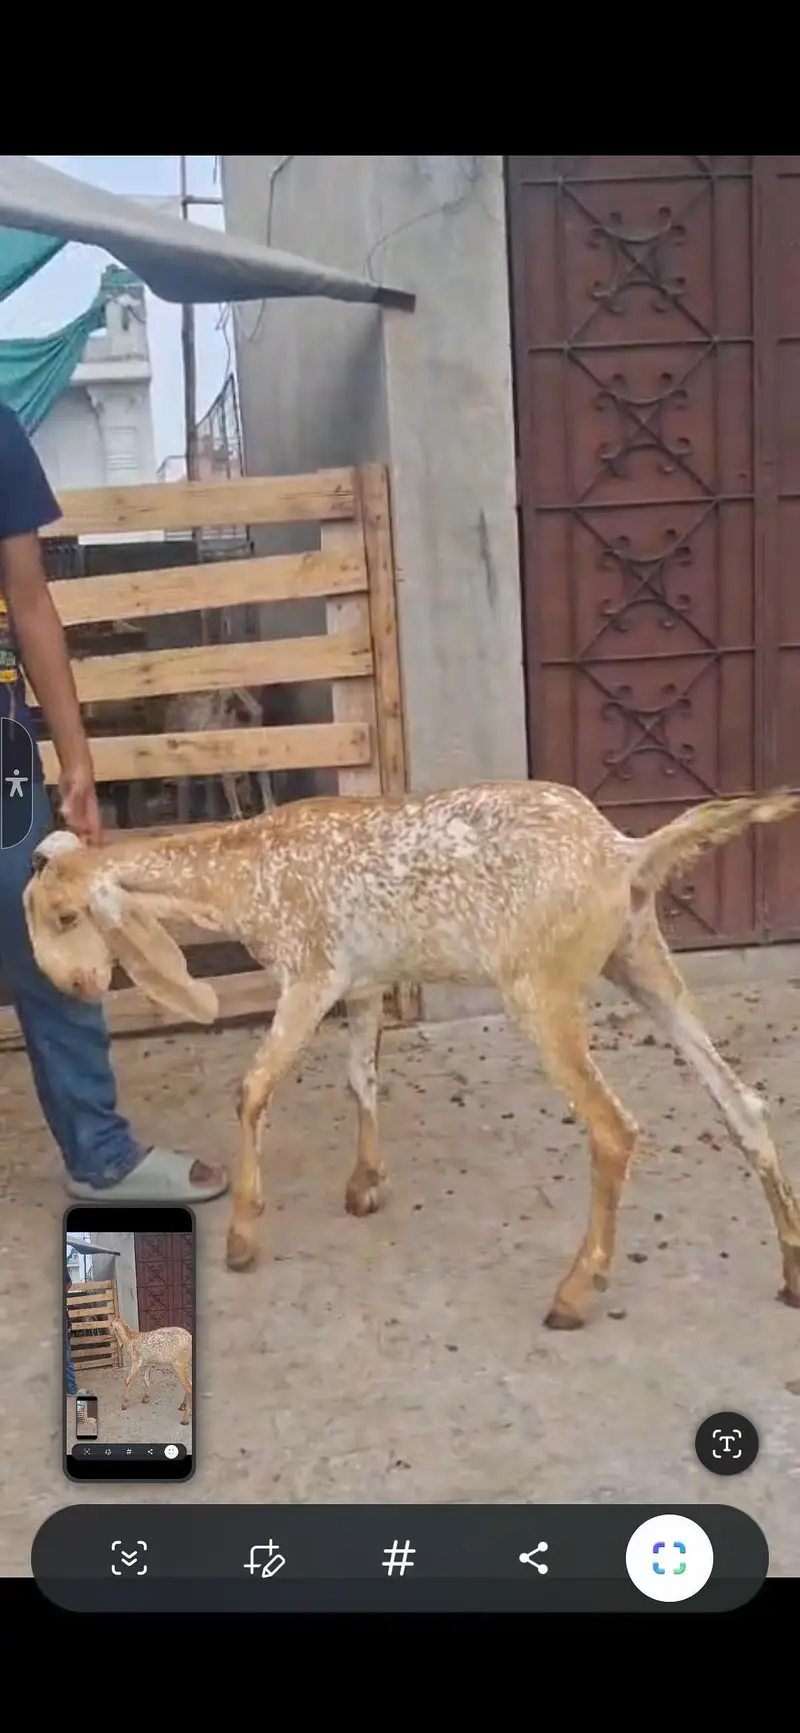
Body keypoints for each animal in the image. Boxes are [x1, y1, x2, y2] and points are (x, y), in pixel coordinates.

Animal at [24, 781, 800, 1330]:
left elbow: (253, 1088)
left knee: (614, 1129)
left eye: (65, 916)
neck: (245, 869)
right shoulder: (364, 986)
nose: (75, 986)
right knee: (741, 1104)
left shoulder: (310, 974)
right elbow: (360, 1076)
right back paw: (791, 1271)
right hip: (637, 954)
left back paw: (575, 1293)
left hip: (543, 987)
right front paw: (366, 1184)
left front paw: (243, 1235)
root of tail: (623, 852)